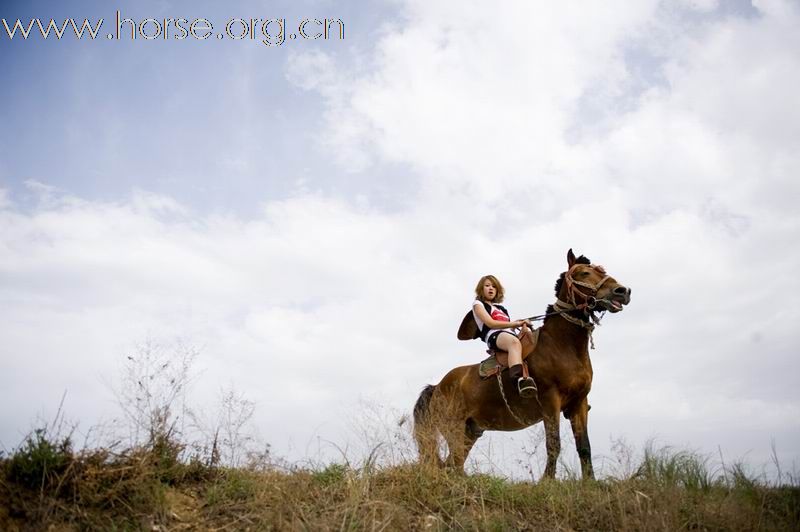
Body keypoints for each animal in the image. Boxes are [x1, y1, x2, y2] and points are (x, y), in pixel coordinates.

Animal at [412, 248, 632, 478]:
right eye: (584, 273)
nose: (622, 291)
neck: (562, 346)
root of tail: (437, 387)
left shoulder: (579, 403)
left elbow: (584, 446)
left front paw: (590, 481)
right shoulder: (550, 401)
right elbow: (553, 444)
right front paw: (547, 480)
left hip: (470, 431)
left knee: (453, 464)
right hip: (453, 427)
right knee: (452, 463)